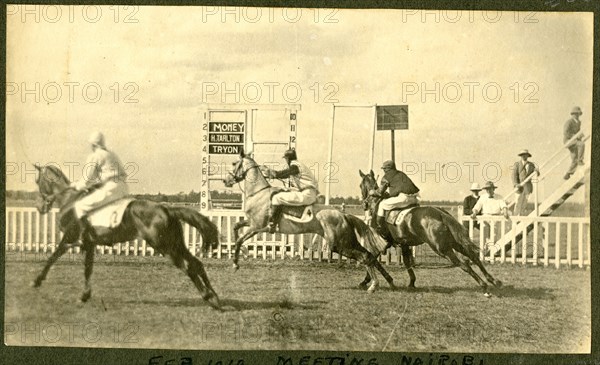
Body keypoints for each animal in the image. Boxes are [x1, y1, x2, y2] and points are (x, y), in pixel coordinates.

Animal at [31, 165, 223, 308]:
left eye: (37, 181)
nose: (40, 207)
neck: (70, 200)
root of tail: (166, 208)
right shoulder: (89, 243)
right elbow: (87, 269)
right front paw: (85, 295)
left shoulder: (70, 239)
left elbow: (52, 257)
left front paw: (37, 280)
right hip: (176, 245)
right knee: (196, 264)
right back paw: (215, 296)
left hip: (164, 247)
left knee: (188, 267)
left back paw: (208, 297)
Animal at [223, 149, 396, 292]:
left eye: (234, 163)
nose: (226, 181)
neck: (259, 193)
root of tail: (343, 215)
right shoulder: (251, 223)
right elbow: (235, 228)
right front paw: (242, 254)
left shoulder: (257, 227)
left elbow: (239, 239)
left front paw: (236, 263)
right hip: (345, 242)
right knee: (368, 255)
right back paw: (378, 282)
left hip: (339, 244)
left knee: (365, 256)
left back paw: (374, 285)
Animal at [360, 169, 502, 294]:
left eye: (361, 185)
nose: (365, 204)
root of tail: (441, 214)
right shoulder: (404, 244)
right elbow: (406, 262)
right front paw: (411, 282)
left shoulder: (382, 242)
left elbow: (373, 259)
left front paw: (369, 282)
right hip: (454, 243)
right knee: (473, 257)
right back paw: (493, 280)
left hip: (441, 248)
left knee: (464, 264)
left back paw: (484, 286)